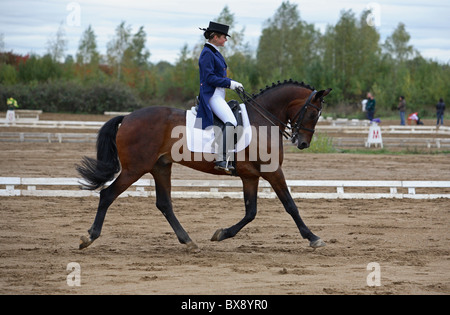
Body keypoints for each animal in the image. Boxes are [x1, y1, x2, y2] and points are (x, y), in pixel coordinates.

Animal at [76, 80, 330, 253]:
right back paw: (89, 237)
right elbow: (290, 205)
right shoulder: (272, 171)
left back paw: (188, 241)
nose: (303, 143)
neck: (262, 121)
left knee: (164, 204)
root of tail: (127, 117)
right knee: (107, 195)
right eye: (313, 113)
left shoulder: (250, 176)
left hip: (160, 167)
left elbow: (251, 212)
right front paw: (313, 237)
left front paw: (222, 234)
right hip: (134, 169)